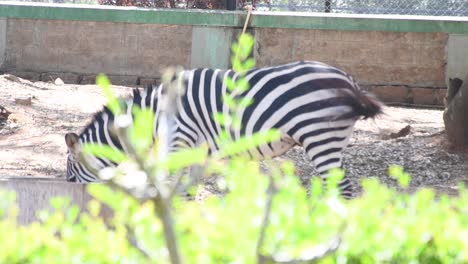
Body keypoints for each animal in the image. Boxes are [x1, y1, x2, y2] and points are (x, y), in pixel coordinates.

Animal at [65, 60, 380, 198]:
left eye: (70, 173)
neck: (156, 114)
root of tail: (349, 81)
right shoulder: (195, 148)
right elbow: (189, 190)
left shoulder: (179, 140)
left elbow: (173, 187)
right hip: (331, 139)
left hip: (320, 137)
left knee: (342, 189)